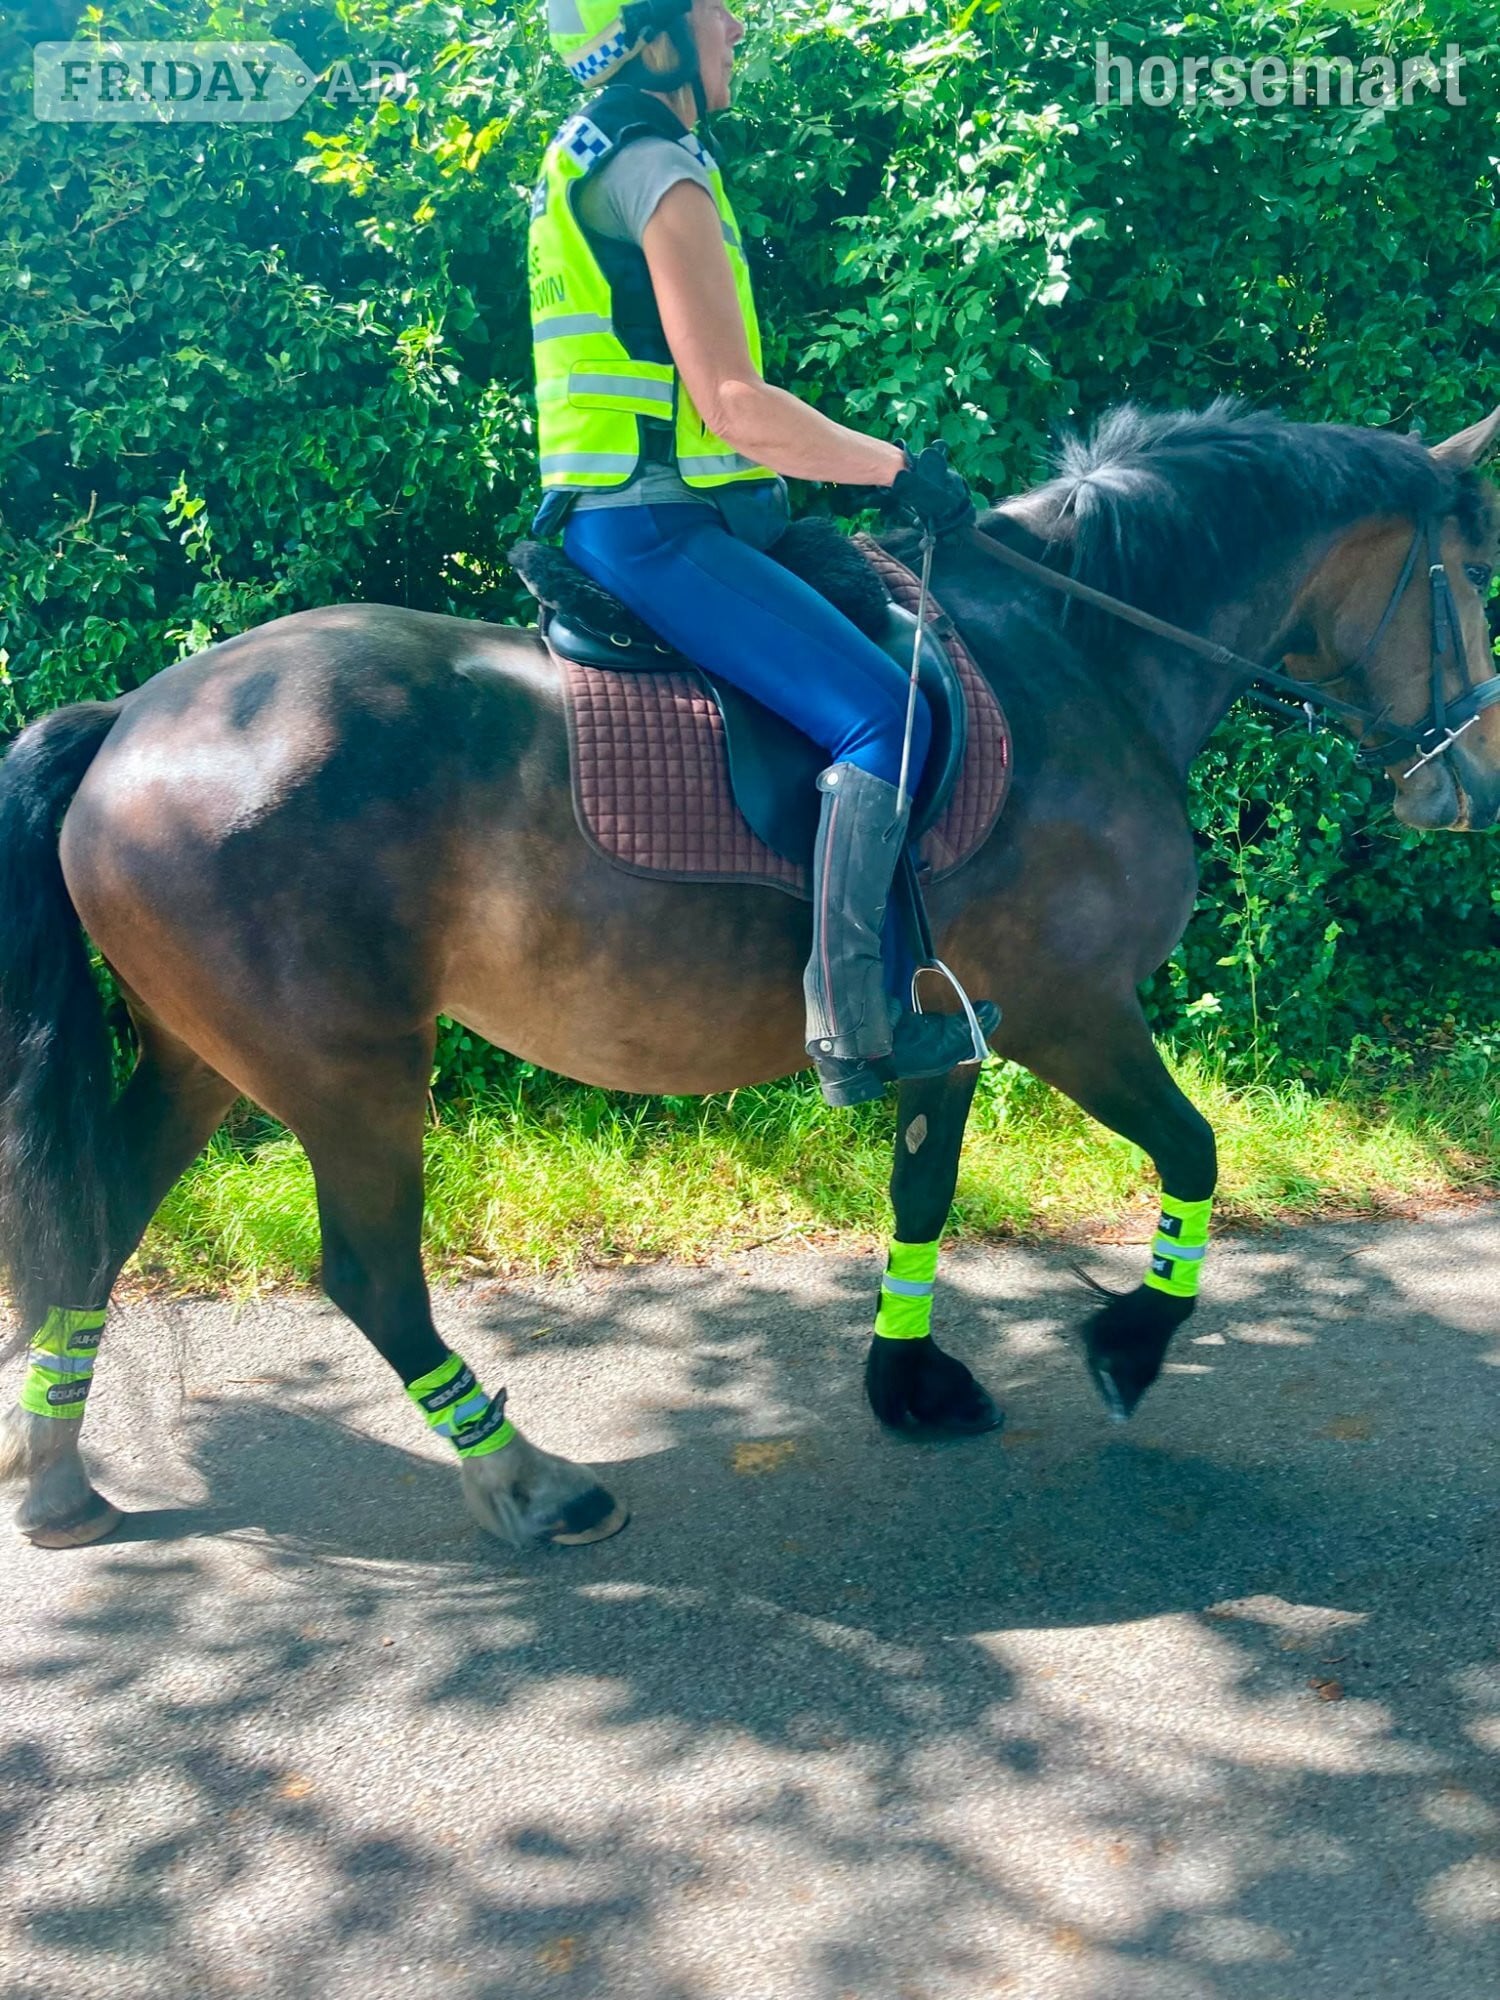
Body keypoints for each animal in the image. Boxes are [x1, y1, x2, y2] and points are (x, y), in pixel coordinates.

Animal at [1, 399, 1497, 1550]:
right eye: (1474, 580)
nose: (1468, 787)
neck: (1083, 654)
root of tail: (130, 717)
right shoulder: (1075, 1013)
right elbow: (1195, 1154)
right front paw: (1128, 1349)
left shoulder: (944, 1027)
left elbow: (922, 1190)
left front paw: (910, 1378)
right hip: (346, 1070)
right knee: (371, 1275)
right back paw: (530, 1483)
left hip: (204, 1058)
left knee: (98, 1225)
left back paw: (61, 1485)